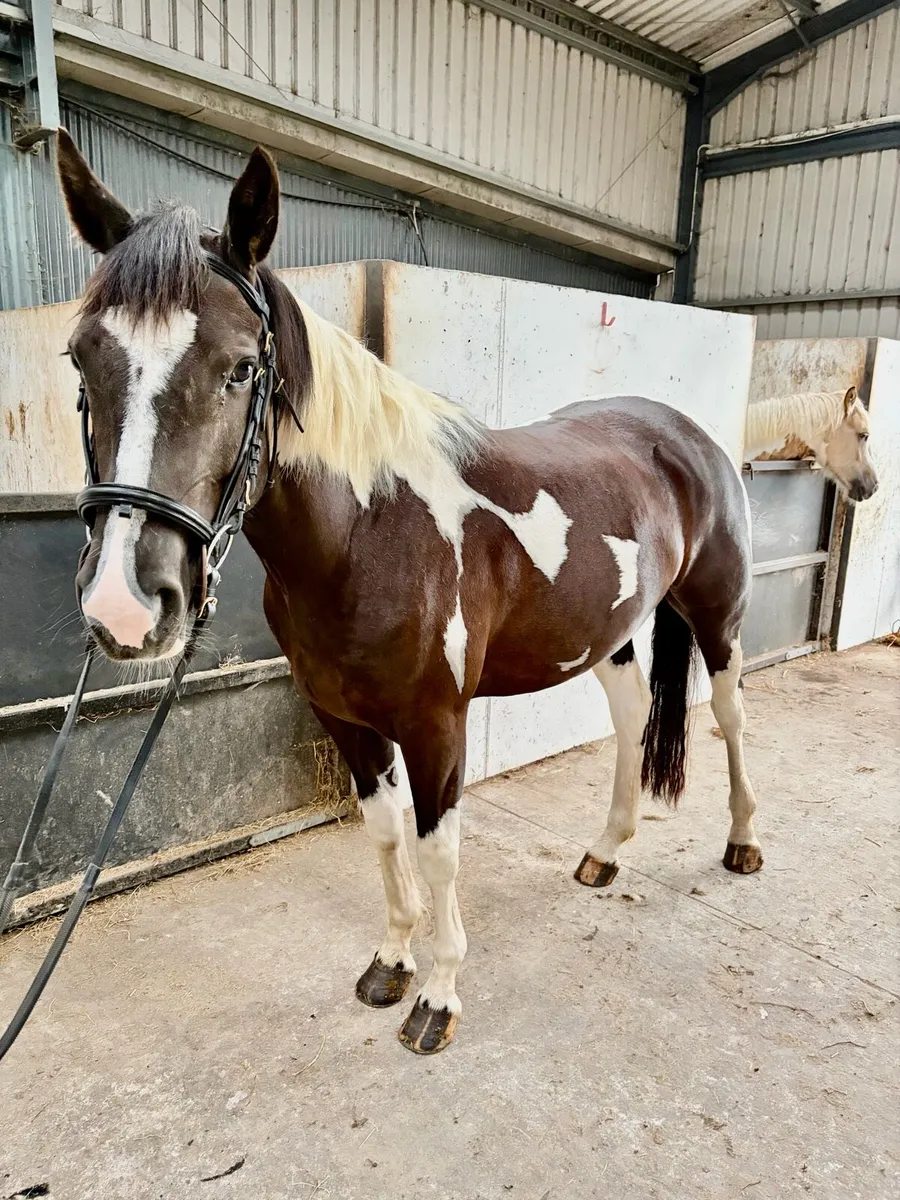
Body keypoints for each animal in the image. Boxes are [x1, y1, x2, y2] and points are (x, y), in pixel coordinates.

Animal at [55, 131, 762, 1056]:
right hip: (607, 633)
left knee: (731, 717)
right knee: (633, 714)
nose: (123, 606)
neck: (372, 532)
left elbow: (439, 849)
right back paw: (605, 851)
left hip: (718, 617)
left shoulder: (436, 726)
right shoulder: (347, 721)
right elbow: (387, 834)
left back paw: (743, 842)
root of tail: (685, 434)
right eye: (81, 361)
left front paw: (439, 996)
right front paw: (392, 962)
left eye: (241, 368)